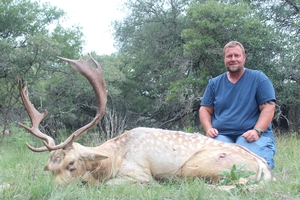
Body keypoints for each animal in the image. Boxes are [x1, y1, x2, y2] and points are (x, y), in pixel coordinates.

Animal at [17, 54, 274, 188]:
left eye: (71, 164)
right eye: (49, 167)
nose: (54, 191)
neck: (114, 157)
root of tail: (265, 168)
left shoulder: (138, 173)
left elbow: (101, 183)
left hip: (194, 167)